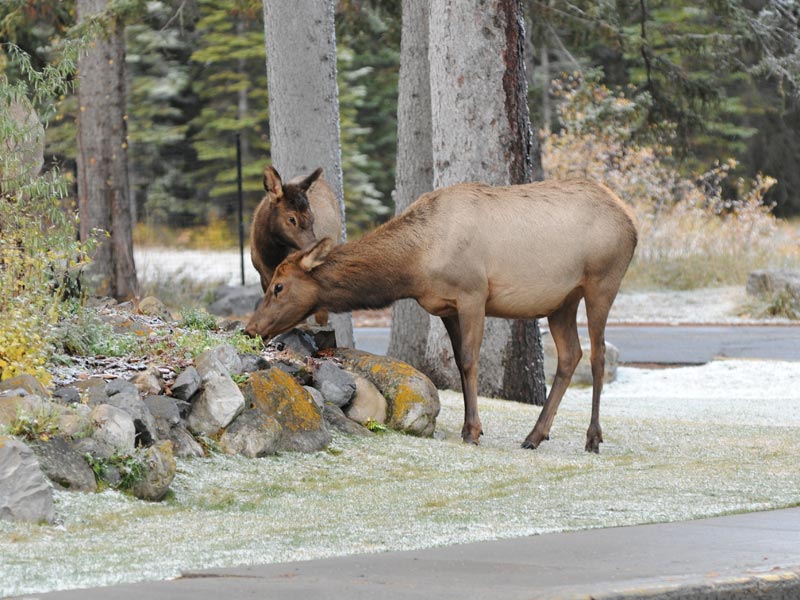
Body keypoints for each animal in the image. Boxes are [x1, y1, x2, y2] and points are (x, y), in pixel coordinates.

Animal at [244, 180, 636, 452]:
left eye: (278, 286)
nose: (250, 328)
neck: (415, 264)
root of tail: (632, 223)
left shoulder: (473, 293)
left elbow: (471, 361)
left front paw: (473, 431)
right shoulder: (445, 306)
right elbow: (459, 365)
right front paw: (468, 426)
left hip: (602, 282)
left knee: (599, 355)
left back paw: (592, 438)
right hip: (562, 301)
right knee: (571, 354)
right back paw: (535, 435)